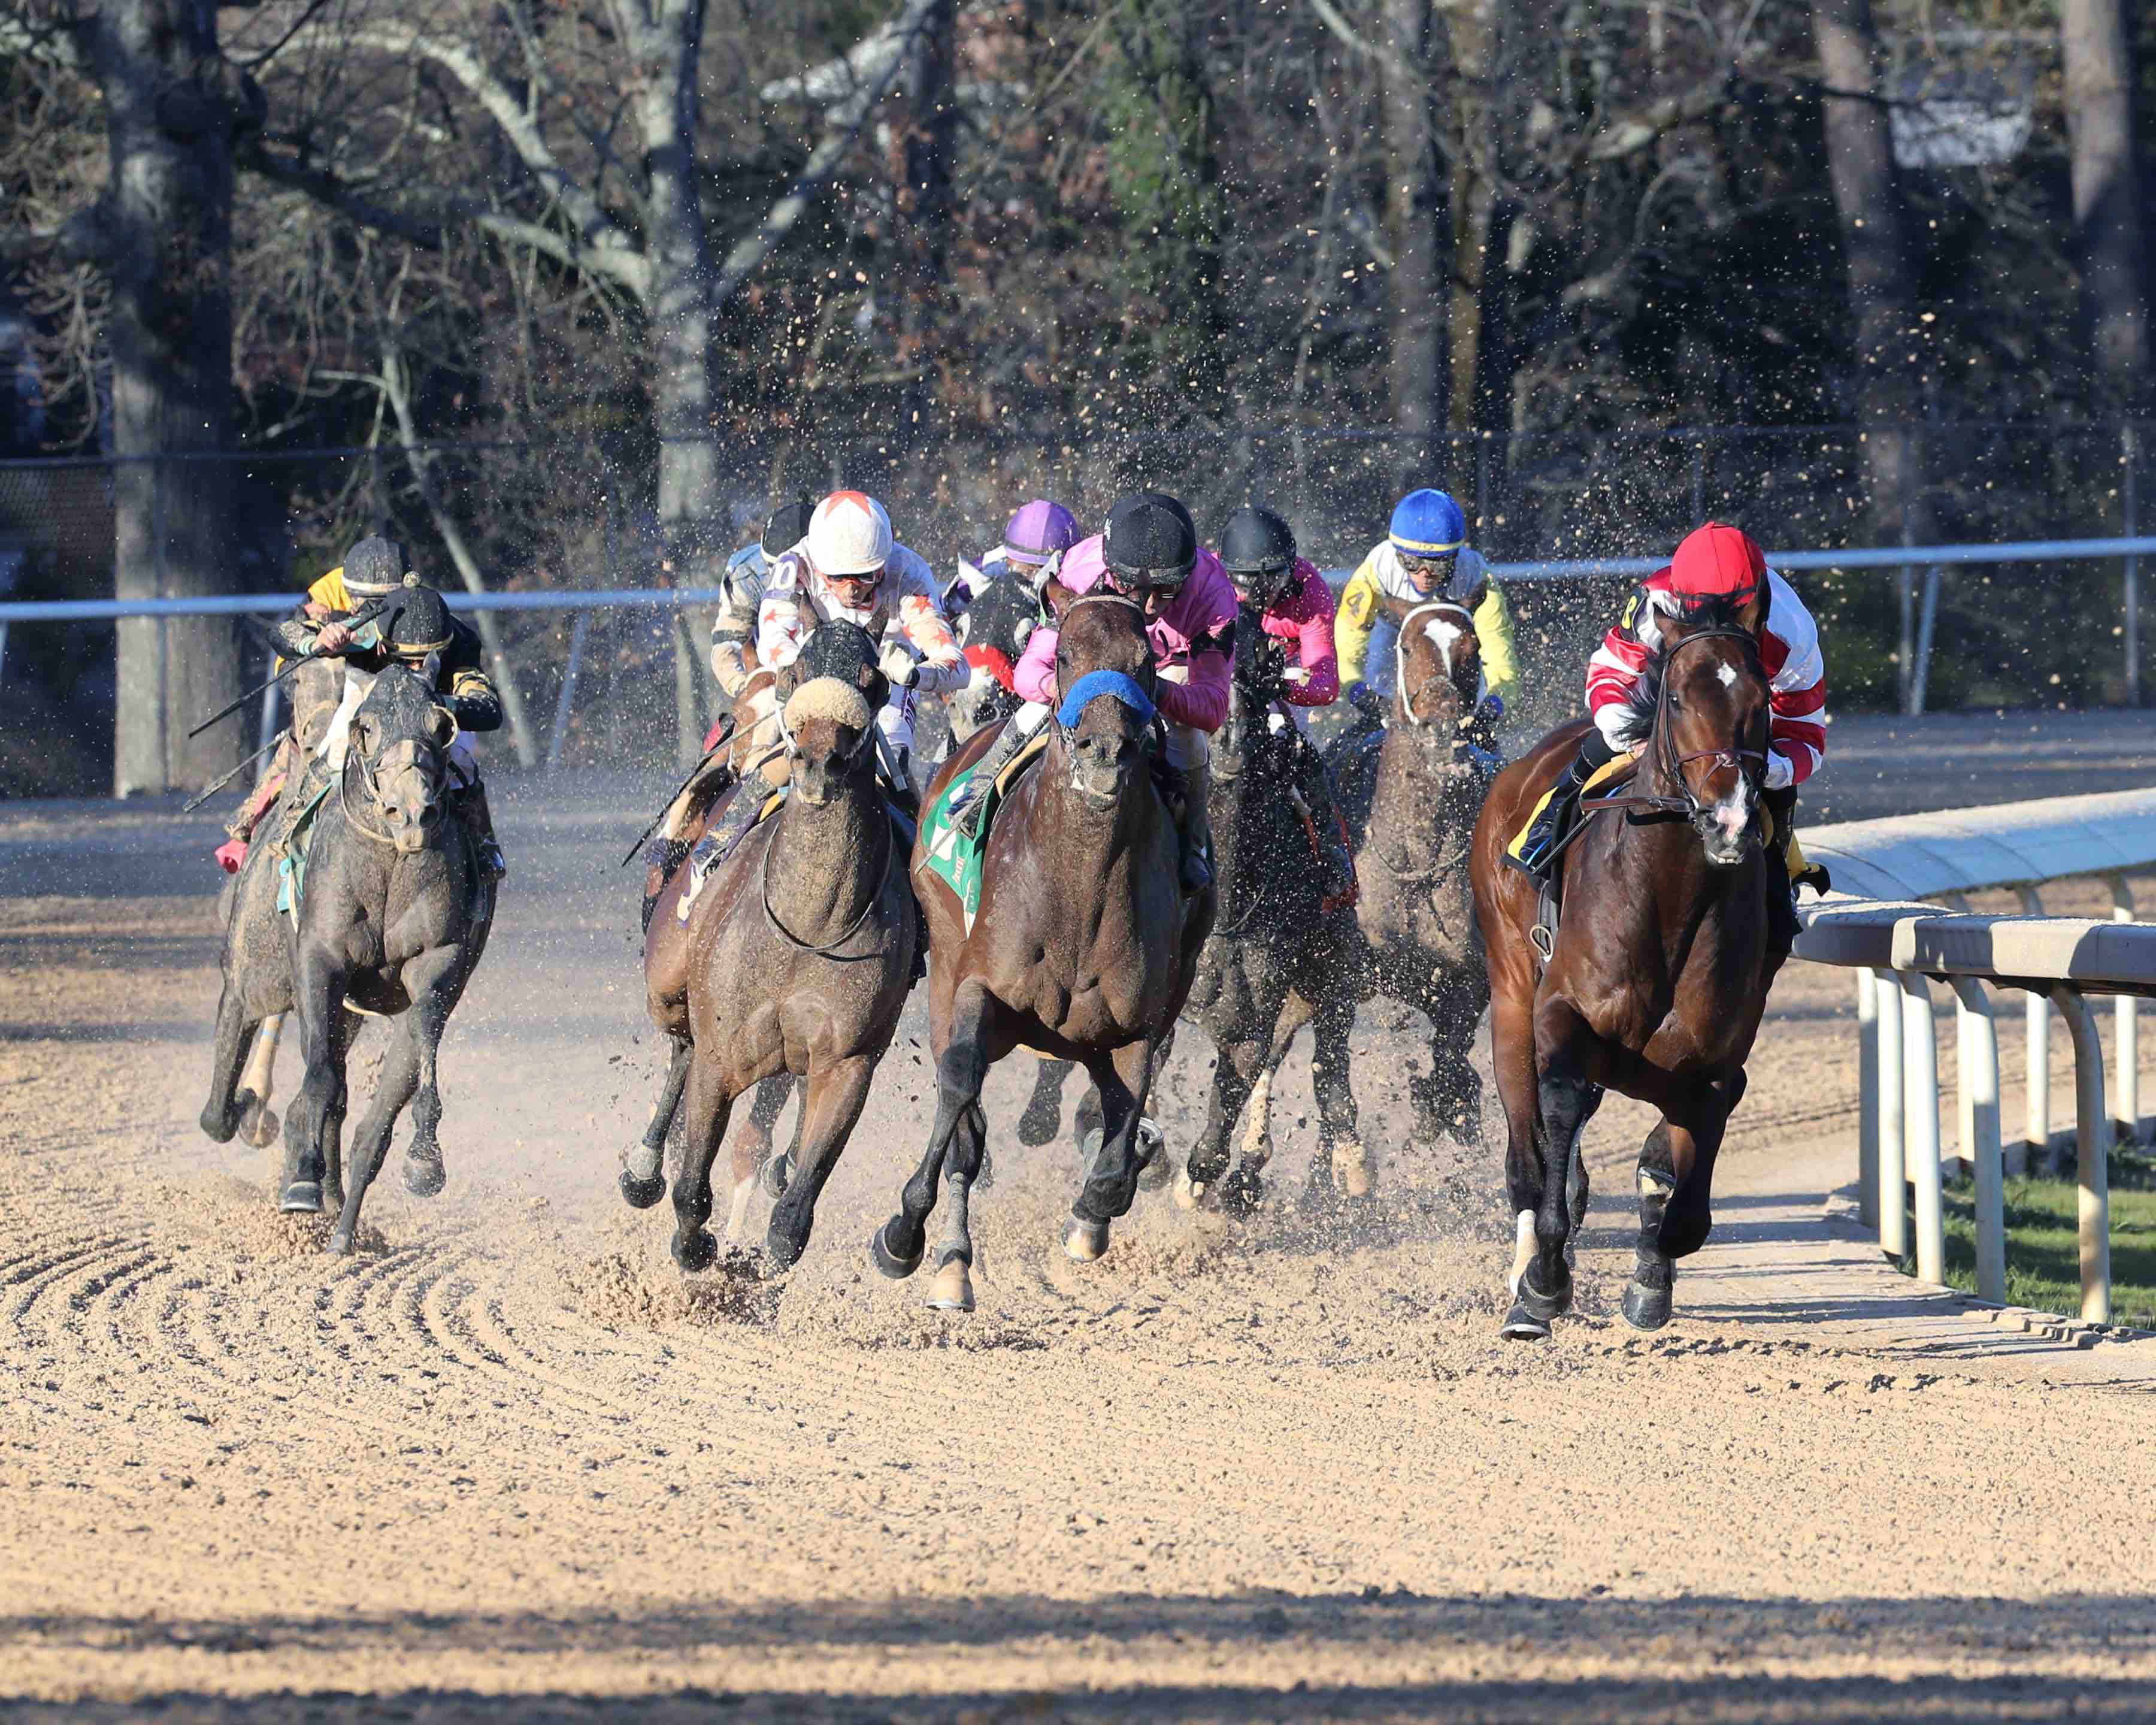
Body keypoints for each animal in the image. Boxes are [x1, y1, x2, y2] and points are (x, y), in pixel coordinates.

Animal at [278, 664, 493, 1251]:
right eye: (366, 726)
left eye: (441, 725)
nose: (412, 814)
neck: (391, 862)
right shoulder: (320, 958)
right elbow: (321, 1079)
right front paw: (301, 1180)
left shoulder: (438, 962)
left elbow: (421, 1058)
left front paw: (424, 1161)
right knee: (331, 1081)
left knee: (373, 1129)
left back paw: (344, 1233)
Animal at [629, 625, 922, 1276]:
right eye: (796, 672)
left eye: (874, 681)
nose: (817, 762)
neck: (808, 925)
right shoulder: (722, 1055)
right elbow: (693, 1188)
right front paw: (697, 1248)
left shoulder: (847, 1063)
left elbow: (791, 1222)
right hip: (667, 983)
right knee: (680, 1047)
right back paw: (642, 1168)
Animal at [875, 591, 1216, 1311]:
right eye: (1061, 655)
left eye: (1147, 661)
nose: (1104, 752)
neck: (1078, 894)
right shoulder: (978, 988)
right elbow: (960, 1091)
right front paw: (907, 1234)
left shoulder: (1138, 1026)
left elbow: (1123, 1130)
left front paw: (1095, 1213)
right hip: (944, 967)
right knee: (966, 1119)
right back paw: (951, 1259)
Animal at [1181, 608, 1362, 1216]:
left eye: (1264, 672)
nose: (1233, 737)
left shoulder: (1259, 1003)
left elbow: (1236, 1085)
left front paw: (1206, 1176)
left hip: (1331, 969)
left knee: (1327, 1064)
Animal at [1466, 599, 1785, 1337]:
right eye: (1678, 696)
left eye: (1763, 700)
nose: (1729, 820)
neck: (1668, 898)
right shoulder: (1562, 1015)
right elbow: (1558, 1112)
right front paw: (1544, 1281)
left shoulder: (1714, 1060)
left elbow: (1681, 1189)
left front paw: (1650, 1276)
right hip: (1511, 990)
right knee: (1527, 1151)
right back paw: (1526, 1275)